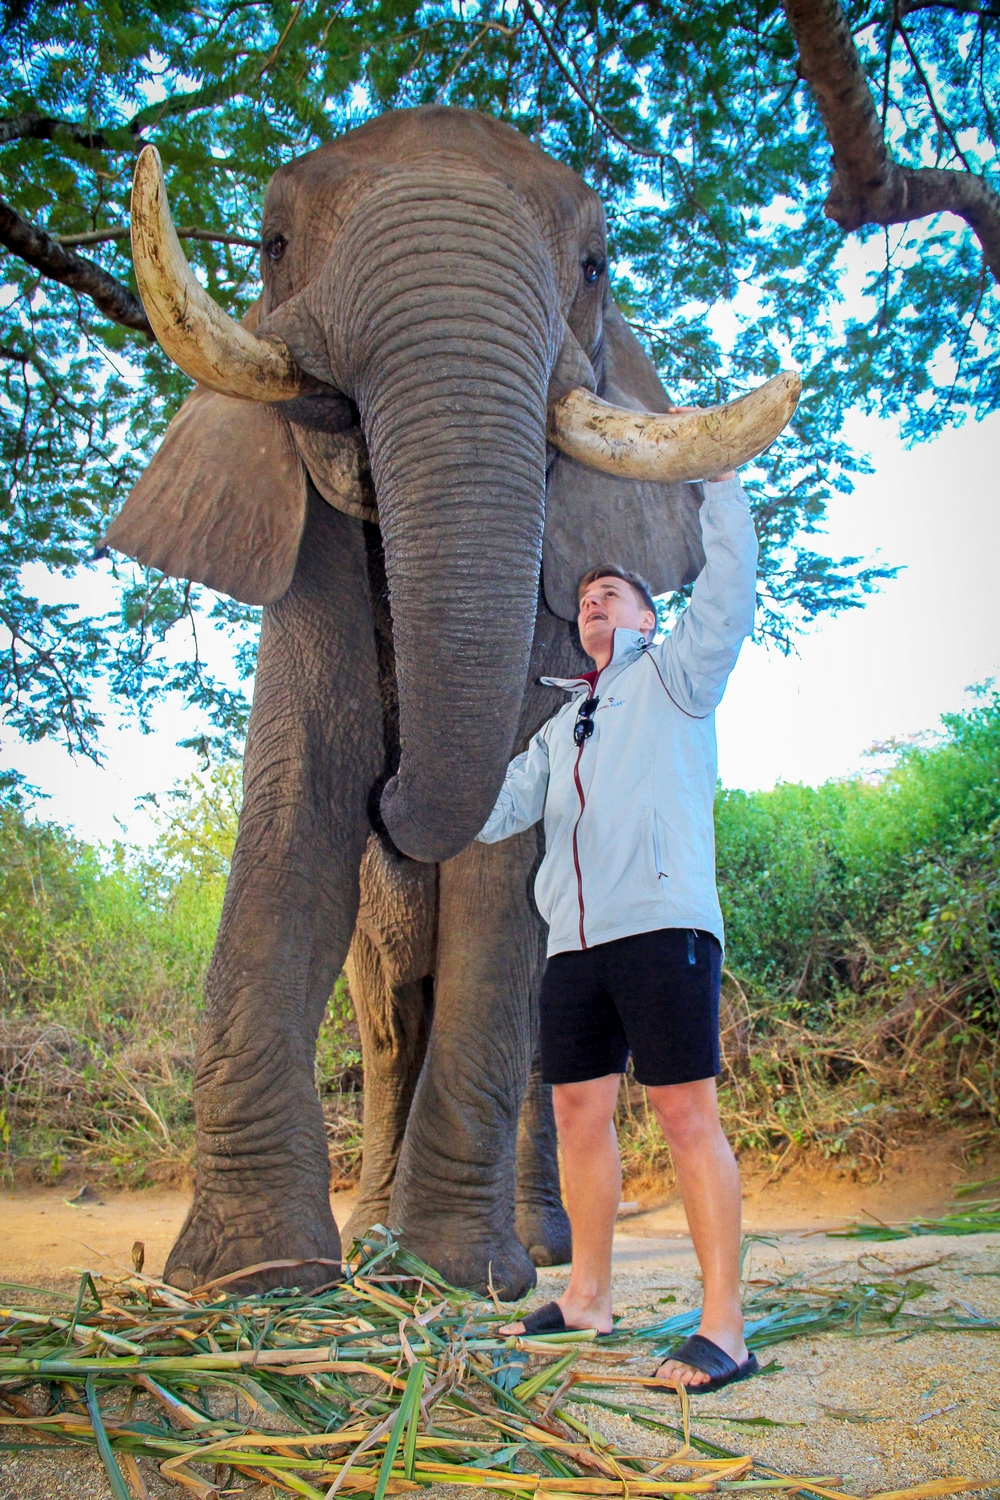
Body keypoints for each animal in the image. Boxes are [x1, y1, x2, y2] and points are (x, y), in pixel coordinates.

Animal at [107, 105, 798, 1298]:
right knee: (388, 1018)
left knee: (543, 1034)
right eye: (272, 244)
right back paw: (376, 1233)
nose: (395, 809)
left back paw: (536, 1249)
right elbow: (293, 825)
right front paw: (252, 1280)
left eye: (595, 265)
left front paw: (457, 1278)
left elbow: (498, 876)